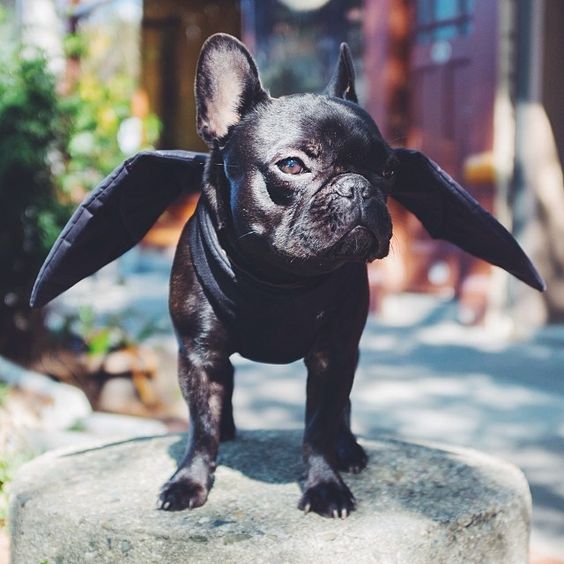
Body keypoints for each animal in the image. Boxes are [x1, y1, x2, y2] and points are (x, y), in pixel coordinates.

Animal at [29, 33, 540, 516]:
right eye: (293, 165)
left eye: (389, 170)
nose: (358, 187)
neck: (277, 277)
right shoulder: (198, 353)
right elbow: (200, 425)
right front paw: (191, 480)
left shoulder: (333, 355)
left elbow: (318, 426)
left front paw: (325, 483)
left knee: (342, 409)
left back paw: (348, 449)